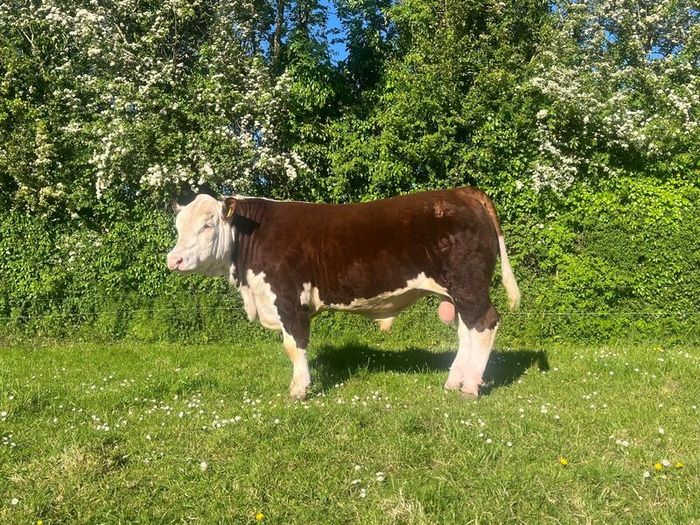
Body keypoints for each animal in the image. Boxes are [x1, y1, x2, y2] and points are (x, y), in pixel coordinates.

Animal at [166, 187, 520, 399]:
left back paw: (470, 386)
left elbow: (294, 346)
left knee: (484, 324)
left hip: (468, 284)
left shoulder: (288, 299)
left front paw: (299, 389)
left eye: (208, 225)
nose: (174, 259)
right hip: (458, 292)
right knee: (466, 331)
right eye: (178, 226)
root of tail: (462, 191)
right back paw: (453, 381)